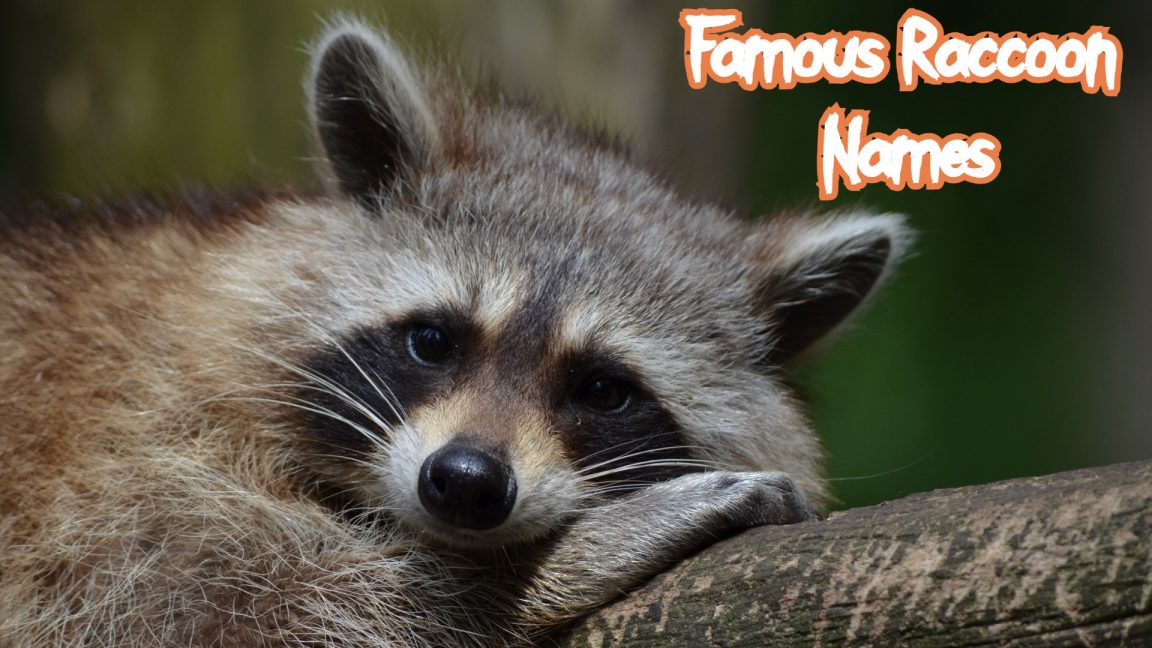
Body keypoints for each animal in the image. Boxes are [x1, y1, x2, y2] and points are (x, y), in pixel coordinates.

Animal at [0, 18, 909, 648]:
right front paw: (550, 567)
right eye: (433, 340)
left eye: (604, 390)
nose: (467, 482)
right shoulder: (117, 464)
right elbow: (238, 606)